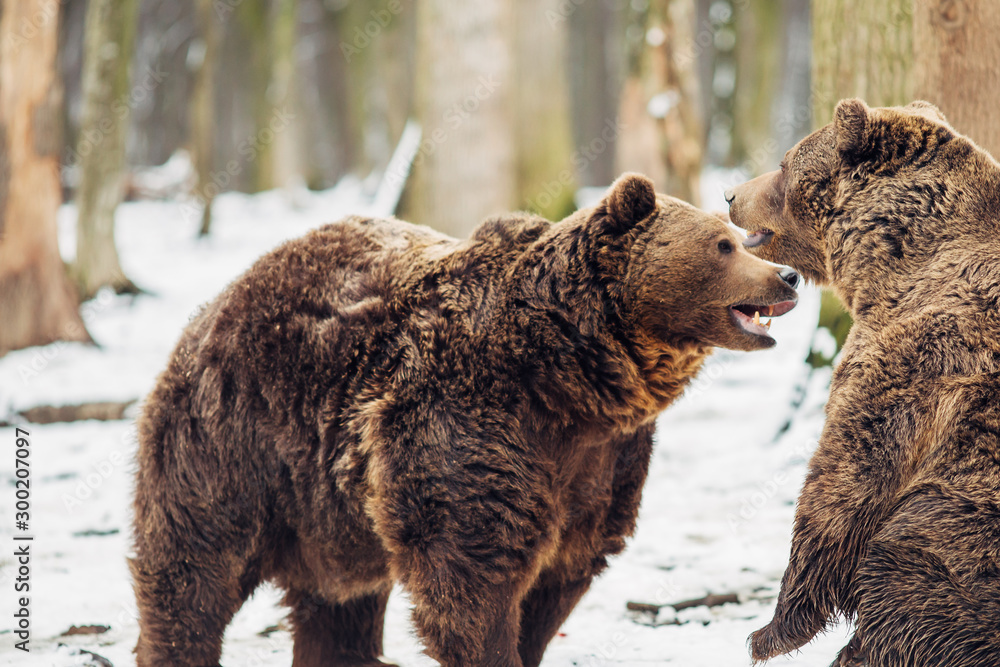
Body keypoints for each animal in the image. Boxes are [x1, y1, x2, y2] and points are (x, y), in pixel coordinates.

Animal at [130, 172, 800, 667]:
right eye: (721, 244)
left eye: (741, 238)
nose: (788, 275)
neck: (573, 380)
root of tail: (217, 303)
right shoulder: (470, 426)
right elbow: (473, 577)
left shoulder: (602, 465)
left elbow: (559, 576)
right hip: (232, 442)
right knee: (192, 571)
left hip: (330, 512)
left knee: (338, 605)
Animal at [726, 99, 1000, 667]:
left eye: (783, 165)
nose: (731, 195)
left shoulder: (915, 355)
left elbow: (843, 481)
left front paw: (769, 633)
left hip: (963, 527)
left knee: (902, 574)